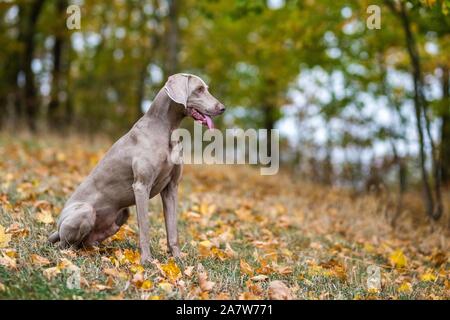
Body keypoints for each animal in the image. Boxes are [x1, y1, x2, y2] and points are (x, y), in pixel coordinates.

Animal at [48, 74, 225, 264]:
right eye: (199, 89)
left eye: (206, 88)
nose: (222, 108)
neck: (166, 129)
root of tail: (57, 227)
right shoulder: (141, 186)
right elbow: (145, 228)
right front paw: (147, 261)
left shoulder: (171, 188)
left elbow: (172, 230)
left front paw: (177, 259)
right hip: (84, 212)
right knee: (65, 245)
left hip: (121, 215)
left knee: (84, 242)